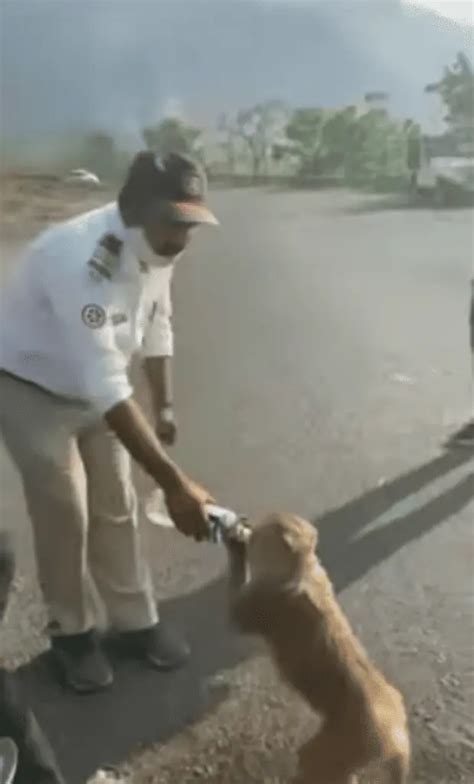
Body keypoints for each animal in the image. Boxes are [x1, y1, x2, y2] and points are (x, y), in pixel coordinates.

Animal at [224, 516, 410, 784]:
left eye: (259, 532)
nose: (247, 524)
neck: (303, 569)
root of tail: (397, 736)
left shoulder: (262, 602)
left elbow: (236, 608)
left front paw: (235, 544)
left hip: (330, 749)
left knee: (316, 765)